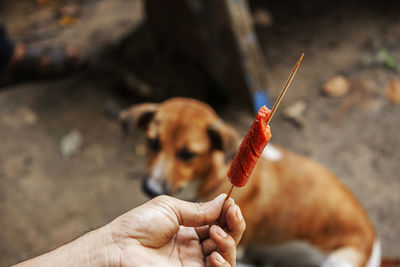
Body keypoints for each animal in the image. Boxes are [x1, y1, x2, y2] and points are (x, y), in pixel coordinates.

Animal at [120, 98, 380, 267]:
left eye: (187, 154)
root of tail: (374, 243)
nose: (150, 189)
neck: (213, 179)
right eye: (152, 142)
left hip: (338, 261)